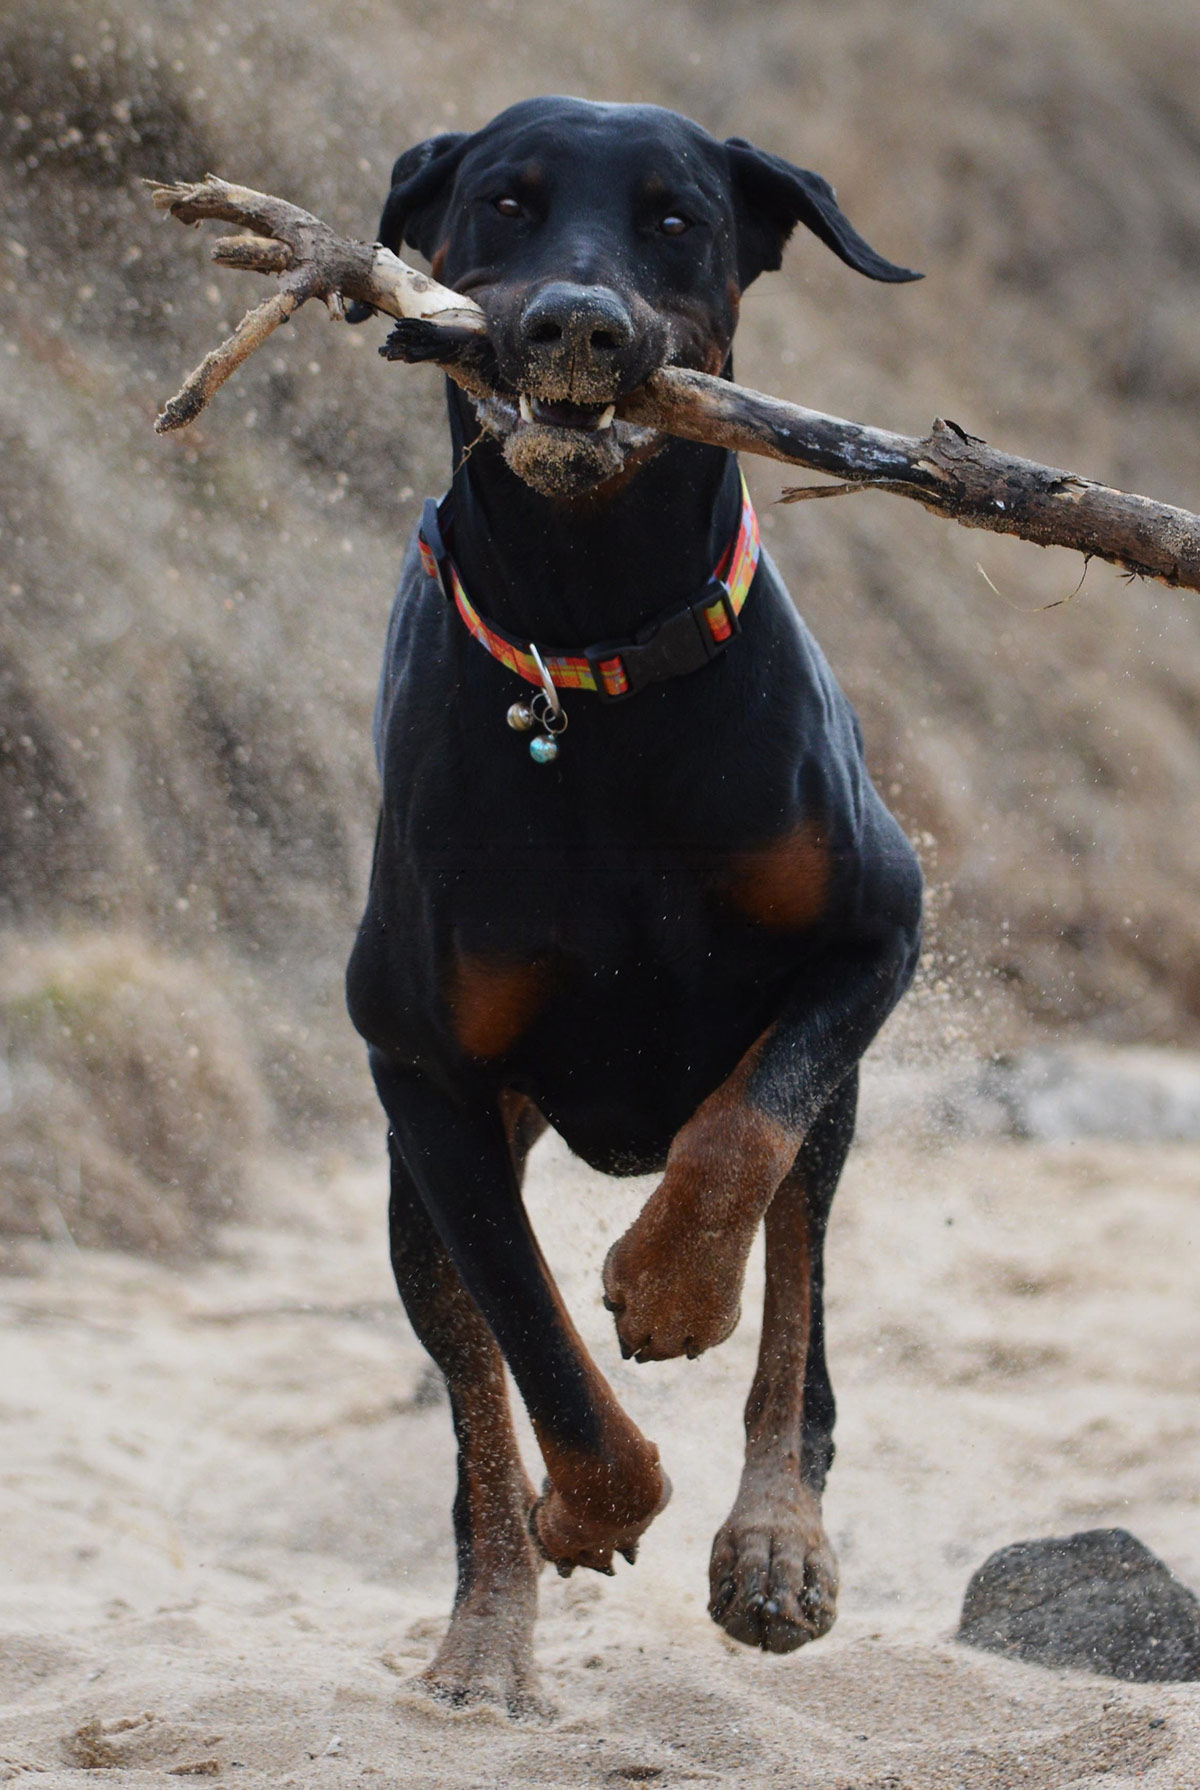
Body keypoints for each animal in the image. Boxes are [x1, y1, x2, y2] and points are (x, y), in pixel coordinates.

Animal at [343, 101, 924, 1718]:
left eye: (675, 219)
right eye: (505, 202)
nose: (576, 326)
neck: (590, 647)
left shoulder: (878, 932)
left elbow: (738, 1143)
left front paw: (671, 1288)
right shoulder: (424, 1074)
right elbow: (532, 1342)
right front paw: (586, 1503)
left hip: (838, 1097)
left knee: (800, 1292)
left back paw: (777, 1540)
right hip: (416, 1183)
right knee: (472, 1398)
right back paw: (486, 1637)